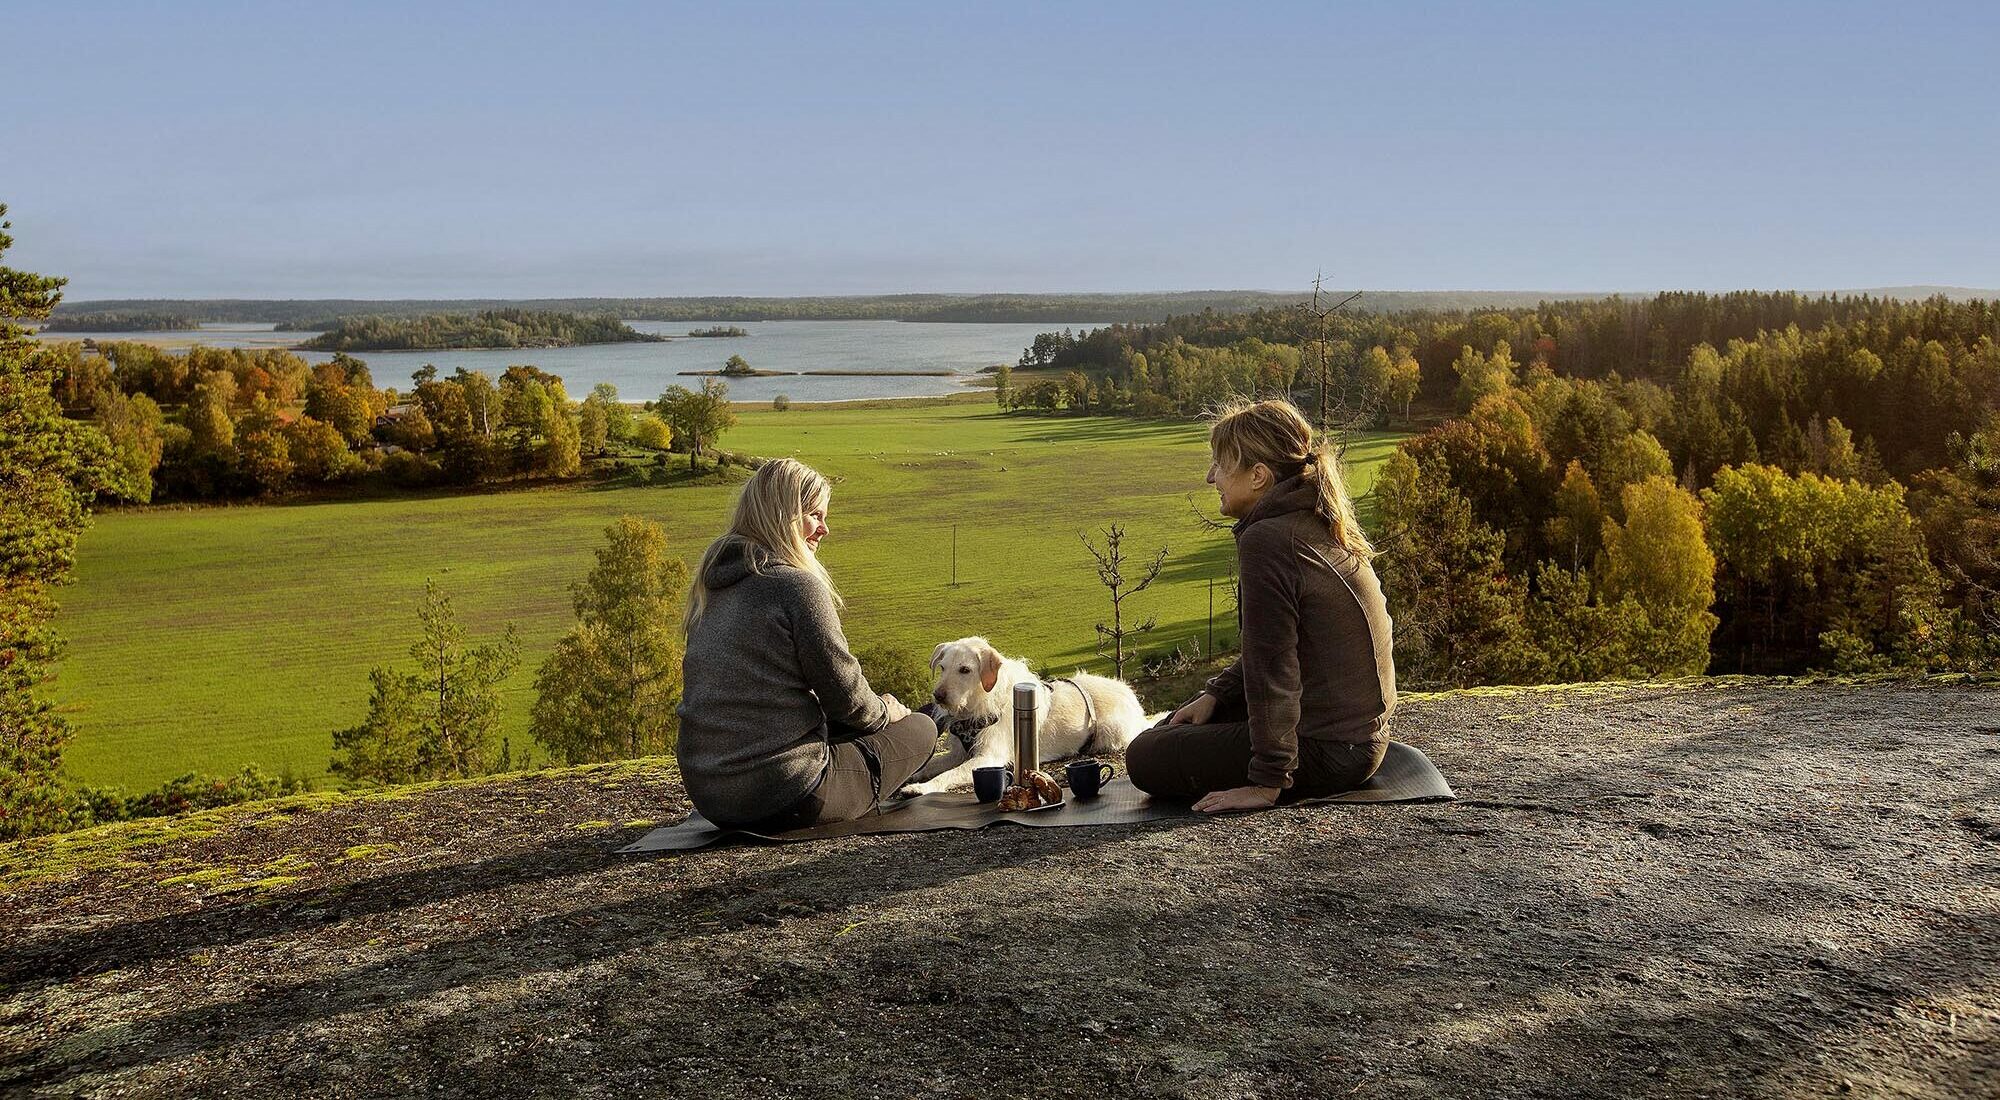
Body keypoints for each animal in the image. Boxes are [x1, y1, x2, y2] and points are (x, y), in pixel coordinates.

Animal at [904, 632, 1160, 796]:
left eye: (965, 670)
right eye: (943, 668)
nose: (938, 696)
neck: (978, 702)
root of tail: (1132, 699)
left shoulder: (988, 757)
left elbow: (949, 774)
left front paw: (922, 788)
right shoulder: (957, 754)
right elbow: (931, 765)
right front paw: (912, 776)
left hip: (1110, 733)